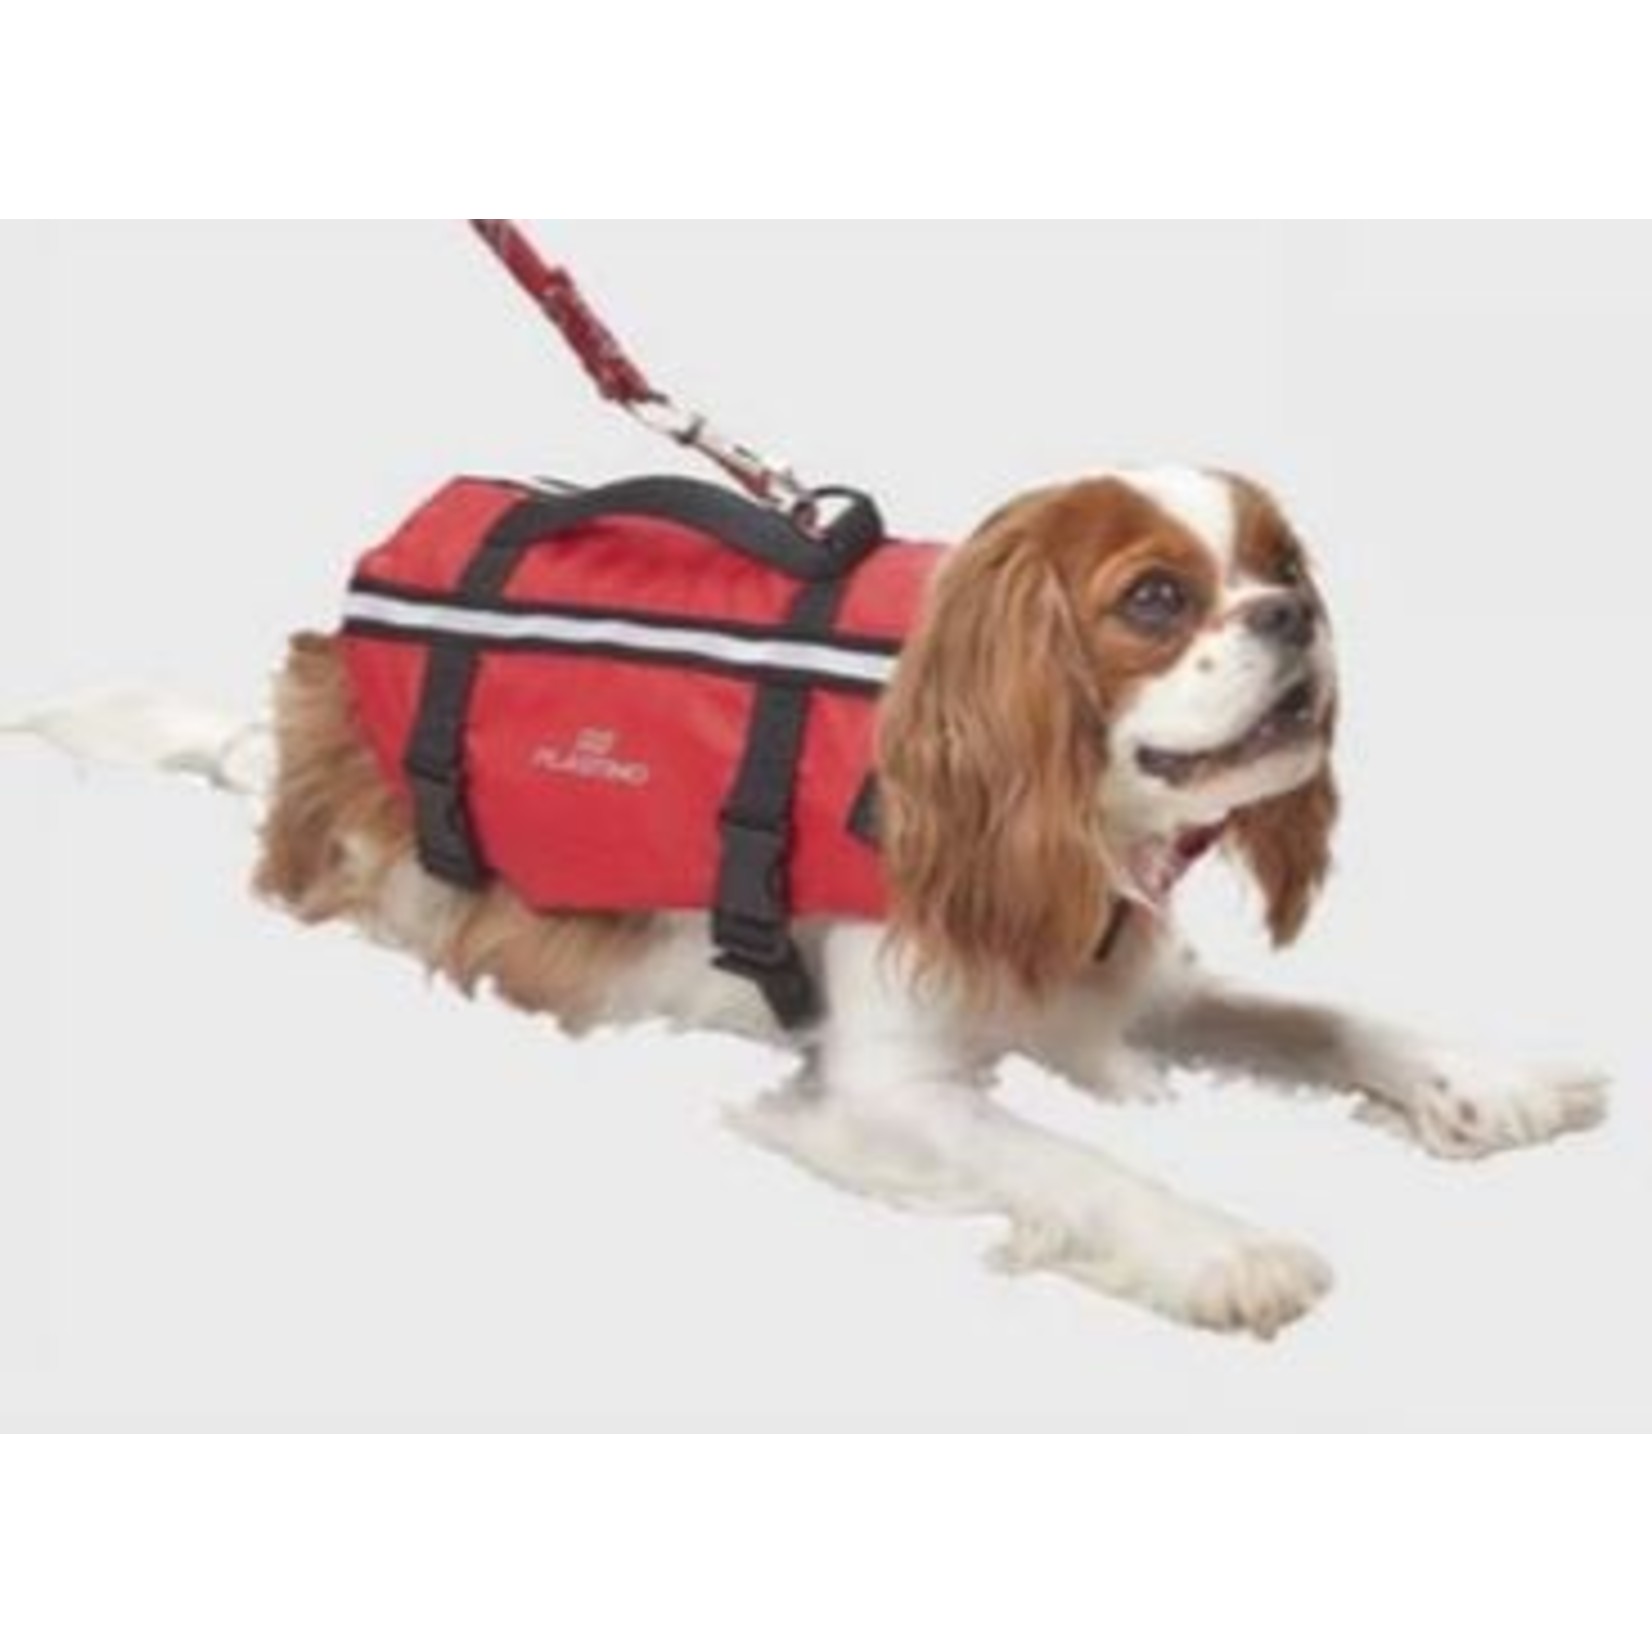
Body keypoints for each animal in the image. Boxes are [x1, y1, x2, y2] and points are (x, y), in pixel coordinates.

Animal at [9, 465, 1607, 1338]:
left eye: (1282, 570)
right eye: (1155, 600)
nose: (1298, 616)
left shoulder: (1121, 976)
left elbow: (1326, 1015)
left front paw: (1484, 1080)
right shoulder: (885, 1088)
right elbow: (1078, 1164)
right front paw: (1224, 1249)